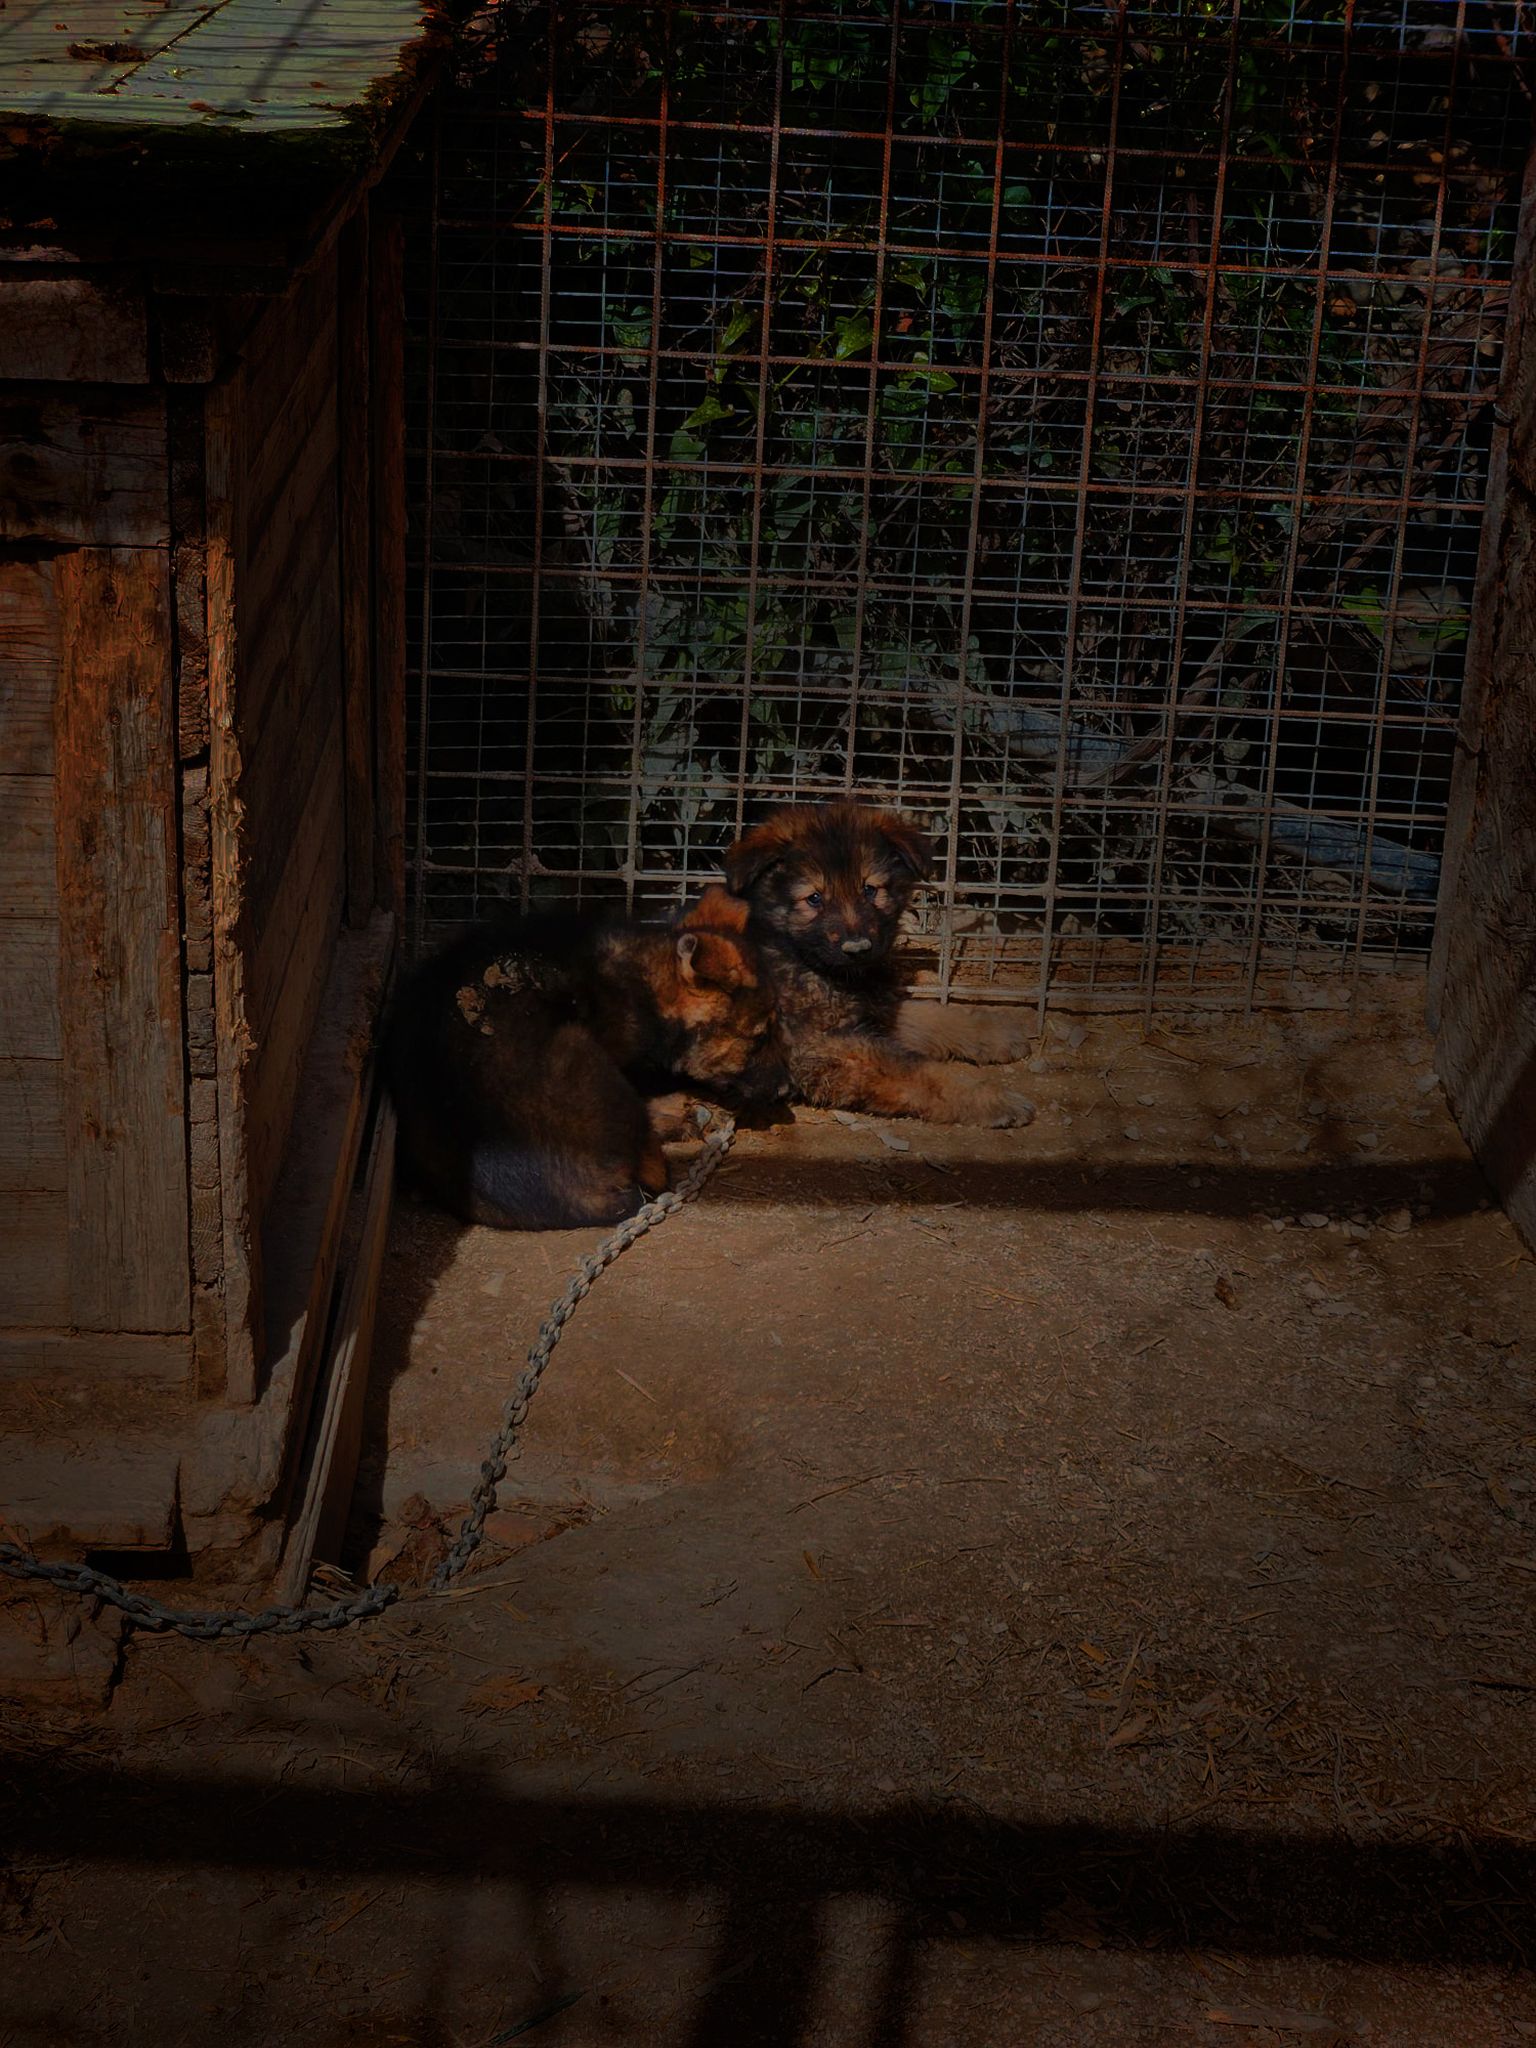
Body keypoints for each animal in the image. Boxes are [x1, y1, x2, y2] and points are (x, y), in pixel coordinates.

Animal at [722, 801, 1035, 1126]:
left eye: (869, 889)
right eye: (814, 898)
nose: (857, 948)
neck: (800, 960)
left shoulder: (871, 1013)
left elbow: (934, 1014)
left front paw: (994, 1033)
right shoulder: (822, 1048)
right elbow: (921, 1072)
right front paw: (988, 1097)